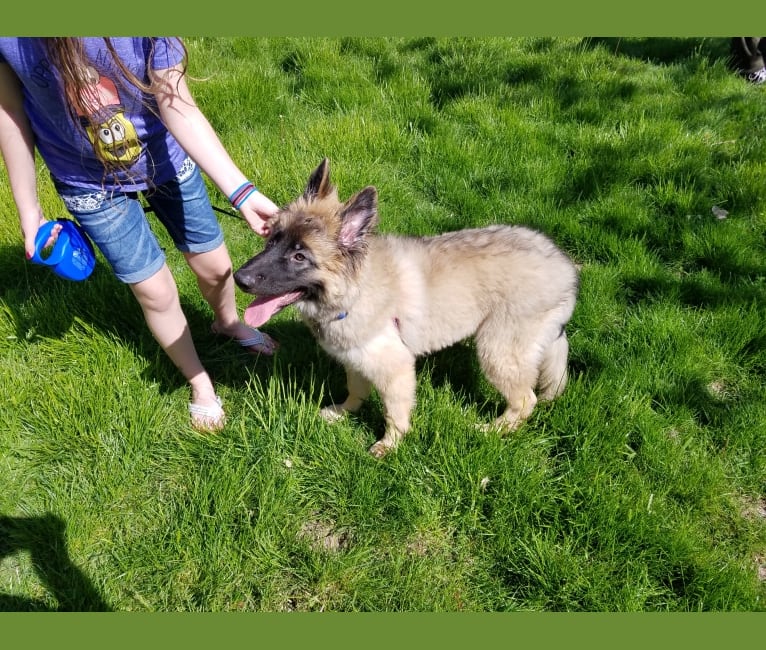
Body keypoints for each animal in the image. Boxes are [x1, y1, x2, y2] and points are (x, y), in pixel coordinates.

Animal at [237, 158, 580, 456]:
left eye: (299, 257)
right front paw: (344, 412)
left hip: (497, 351)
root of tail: (566, 269)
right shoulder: (356, 359)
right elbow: (355, 389)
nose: (240, 279)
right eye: (272, 241)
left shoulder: (396, 369)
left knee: (524, 400)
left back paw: (492, 430)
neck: (356, 290)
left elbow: (394, 414)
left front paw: (389, 445)